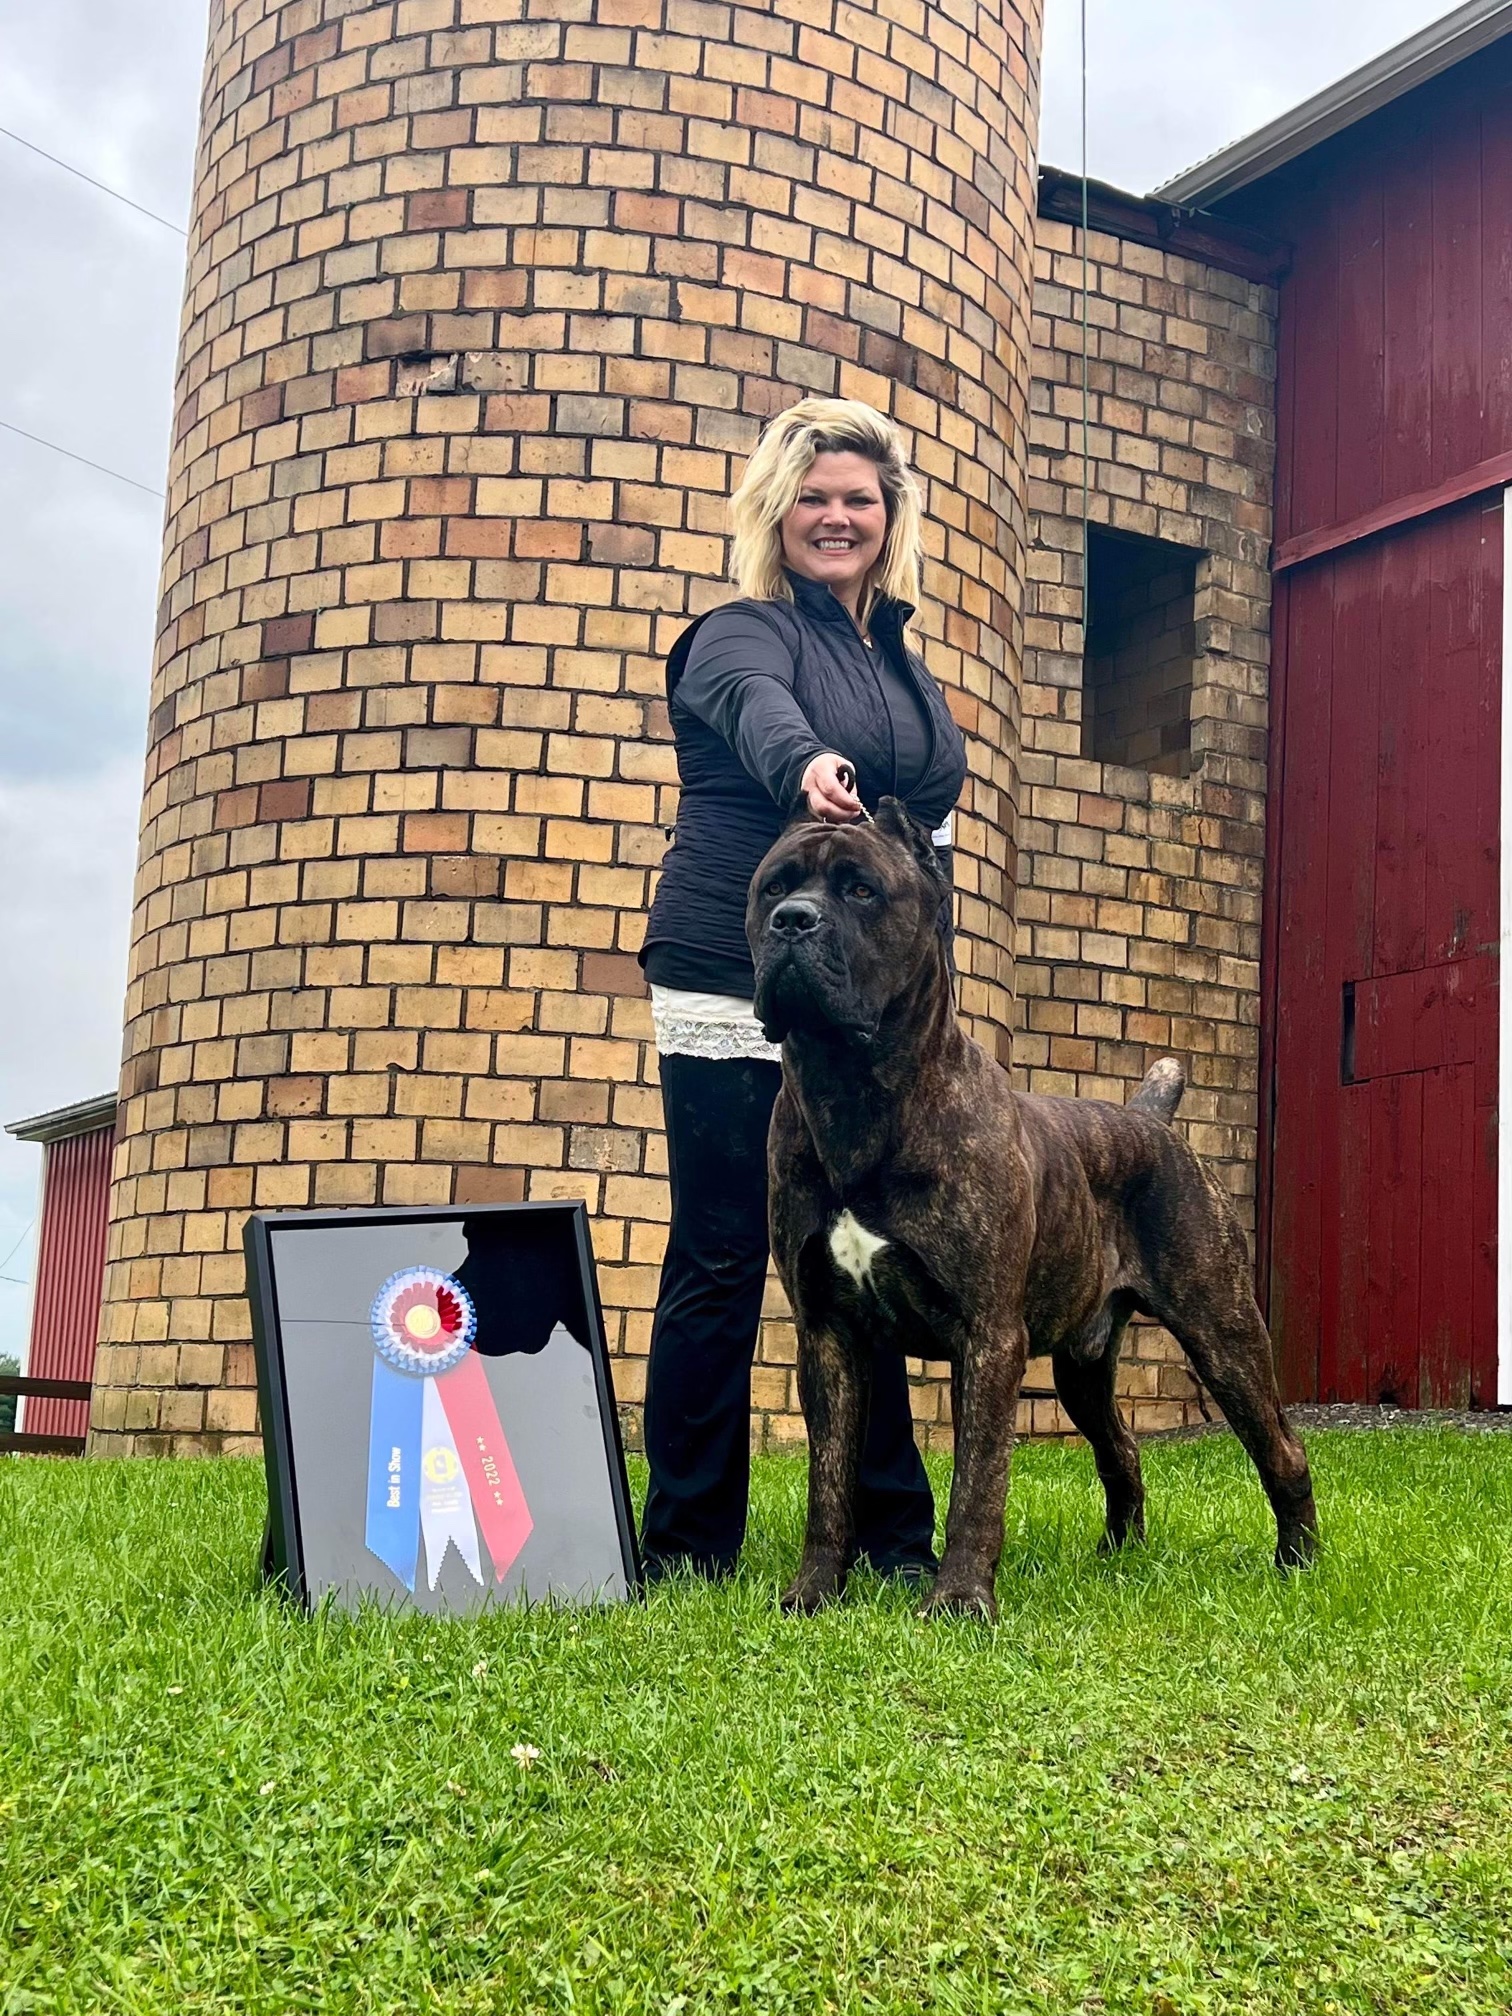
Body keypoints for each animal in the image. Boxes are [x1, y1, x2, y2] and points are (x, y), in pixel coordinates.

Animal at [747, 799, 1318, 1619]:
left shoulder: (987, 1335)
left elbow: (978, 1480)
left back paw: (1298, 1562)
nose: (793, 920)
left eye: (860, 890)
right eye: (773, 887)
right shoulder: (826, 1335)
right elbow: (829, 1483)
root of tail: (1149, 1119)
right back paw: (1118, 1560)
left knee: (1281, 1445)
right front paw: (813, 1593)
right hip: (1084, 1368)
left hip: (1224, 1332)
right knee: (1122, 1449)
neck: (852, 1089)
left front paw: (959, 1601)